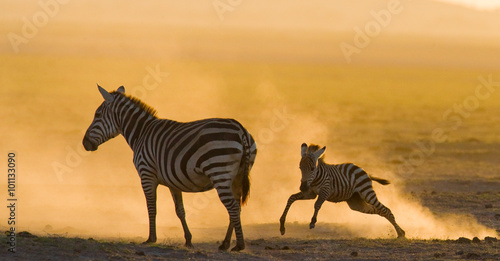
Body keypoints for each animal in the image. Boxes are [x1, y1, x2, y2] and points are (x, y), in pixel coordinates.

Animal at [82, 85, 258, 250]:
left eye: (97, 115)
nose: (84, 143)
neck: (141, 133)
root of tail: (240, 129)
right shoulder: (174, 182)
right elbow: (180, 211)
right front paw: (188, 240)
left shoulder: (147, 175)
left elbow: (151, 207)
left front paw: (151, 239)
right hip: (237, 176)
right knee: (237, 207)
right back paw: (226, 244)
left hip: (219, 171)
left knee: (233, 207)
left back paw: (239, 245)